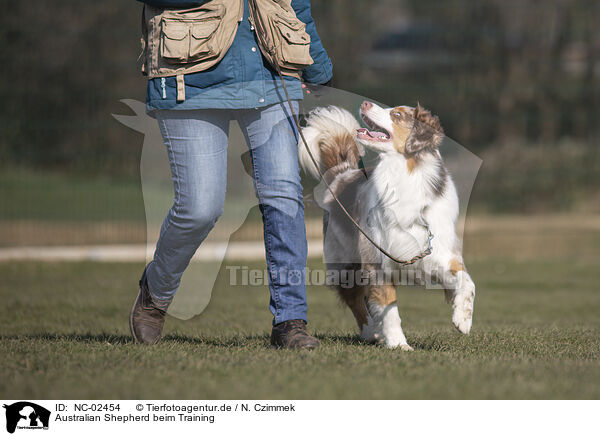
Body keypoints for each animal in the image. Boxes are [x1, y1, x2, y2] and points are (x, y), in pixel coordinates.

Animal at [298, 100, 476, 350]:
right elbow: (389, 307)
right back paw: (371, 332)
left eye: (398, 115)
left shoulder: (439, 254)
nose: (364, 103)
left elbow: (467, 283)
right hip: (346, 263)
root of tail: (342, 174)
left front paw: (463, 319)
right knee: (355, 300)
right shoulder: (377, 261)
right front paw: (399, 345)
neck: (404, 175)